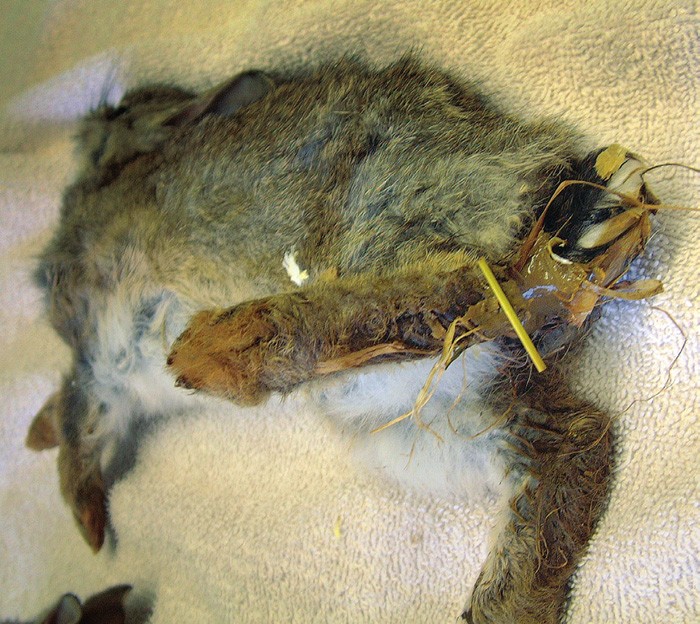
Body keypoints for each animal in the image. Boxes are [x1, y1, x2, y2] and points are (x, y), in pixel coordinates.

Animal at [28, 56, 657, 623]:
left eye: (124, 110)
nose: (95, 118)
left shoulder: (92, 354)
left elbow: (77, 418)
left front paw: (87, 520)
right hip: (434, 419)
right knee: (575, 440)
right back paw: (507, 608)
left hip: (377, 228)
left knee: (450, 285)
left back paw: (216, 351)